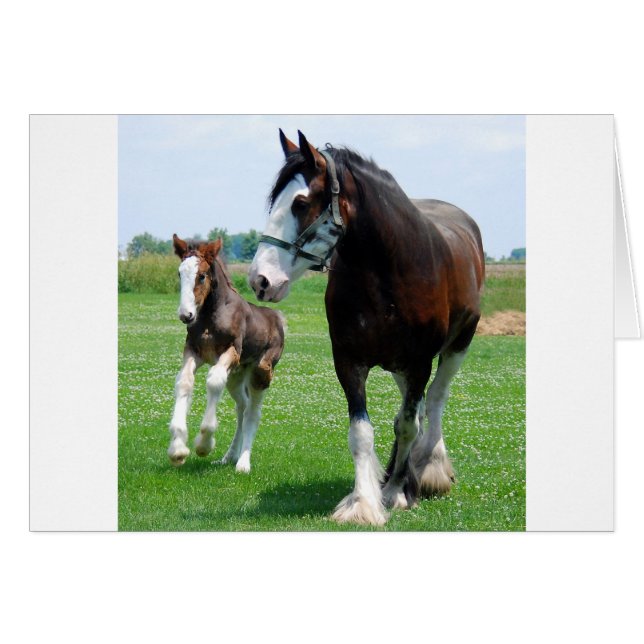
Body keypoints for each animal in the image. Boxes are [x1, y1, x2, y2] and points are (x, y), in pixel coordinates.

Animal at [167, 235, 286, 473]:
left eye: (201, 276)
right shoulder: (194, 351)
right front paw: (178, 449)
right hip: (237, 375)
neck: (210, 316)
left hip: (261, 371)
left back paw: (243, 463)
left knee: (252, 413)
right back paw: (229, 456)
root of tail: (278, 318)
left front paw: (204, 443)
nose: (186, 315)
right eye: (179, 273)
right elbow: (184, 381)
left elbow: (213, 381)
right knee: (242, 406)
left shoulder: (231, 353)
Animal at [248, 130, 485, 525]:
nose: (260, 279)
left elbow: (408, 424)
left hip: (457, 347)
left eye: (300, 202)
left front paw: (397, 492)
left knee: (435, 402)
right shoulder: (349, 361)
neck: (387, 272)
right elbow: (362, 432)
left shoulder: (419, 362)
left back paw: (430, 470)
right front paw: (364, 501)